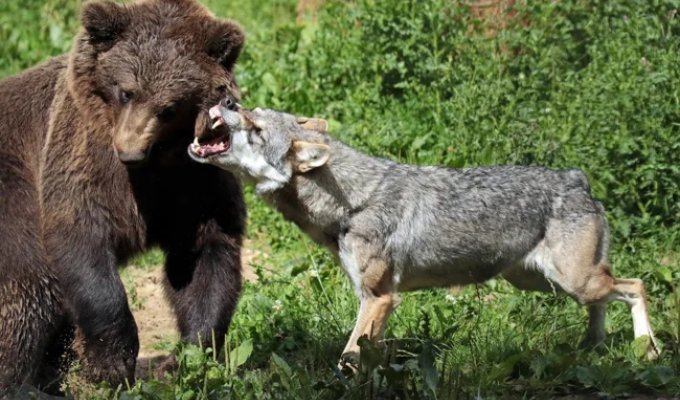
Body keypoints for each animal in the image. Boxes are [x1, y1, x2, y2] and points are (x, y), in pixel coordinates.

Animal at [0, 0, 246, 389]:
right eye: (126, 91)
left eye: (170, 107)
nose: (130, 151)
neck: (153, 167)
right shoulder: (81, 159)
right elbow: (82, 241)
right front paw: (113, 362)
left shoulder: (196, 183)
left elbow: (205, 256)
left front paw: (186, 358)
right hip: (13, 193)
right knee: (28, 280)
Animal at [188, 101, 658, 368]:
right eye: (250, 109)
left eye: (255, 127)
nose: (226, 99)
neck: (353, 202)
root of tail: (577, 178)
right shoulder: (372, 301)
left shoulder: (379, 298)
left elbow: (348, 359)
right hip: (544, 283)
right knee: (606, 301)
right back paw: (592, 347)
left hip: (572, 281)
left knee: (636, 285)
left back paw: (648, 350)